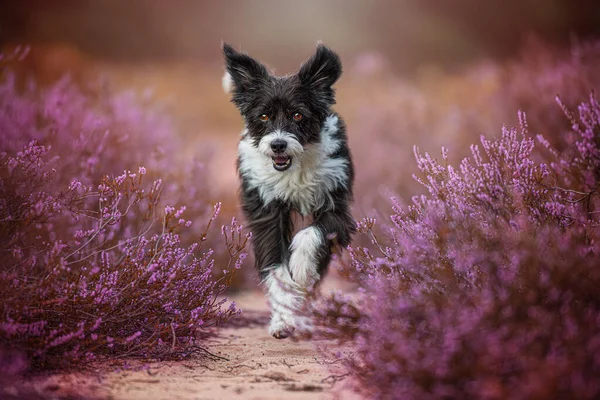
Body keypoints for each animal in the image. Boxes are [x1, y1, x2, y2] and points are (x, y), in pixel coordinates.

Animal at [225, 43, 356, 338]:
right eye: (264, 115)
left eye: (298, 114)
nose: (278, 144)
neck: (293, 168)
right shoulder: (266, 213)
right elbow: (274, 264)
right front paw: (284, 316)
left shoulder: (339, 212)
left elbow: (310, 235)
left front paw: (302, 270)